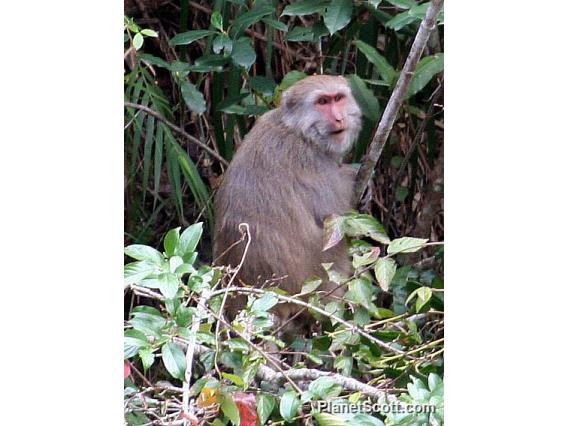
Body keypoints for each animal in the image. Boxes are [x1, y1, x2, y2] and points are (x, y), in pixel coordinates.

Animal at [213, 75, 364, 324]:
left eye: (338, 98)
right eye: (323, 102)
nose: (338, 118)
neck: (298, 130)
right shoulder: (312, 161)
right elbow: (334, 217)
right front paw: (354, 173)